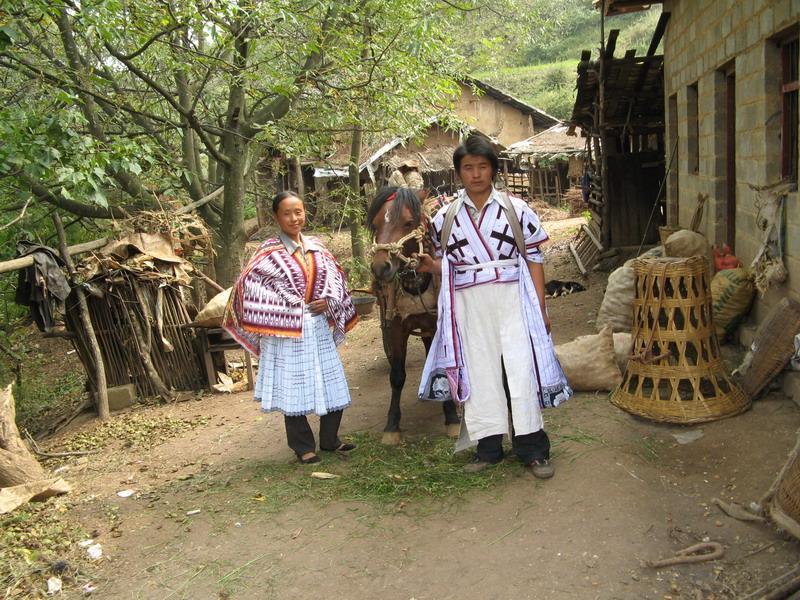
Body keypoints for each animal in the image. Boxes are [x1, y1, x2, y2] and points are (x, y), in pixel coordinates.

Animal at [368, 188, 460, 446]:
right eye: (375, 224)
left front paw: (452, 418)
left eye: (408, 223)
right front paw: (392, 426)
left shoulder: (438, 325)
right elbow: (397, 376)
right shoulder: (396, 327)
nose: (380, 268)